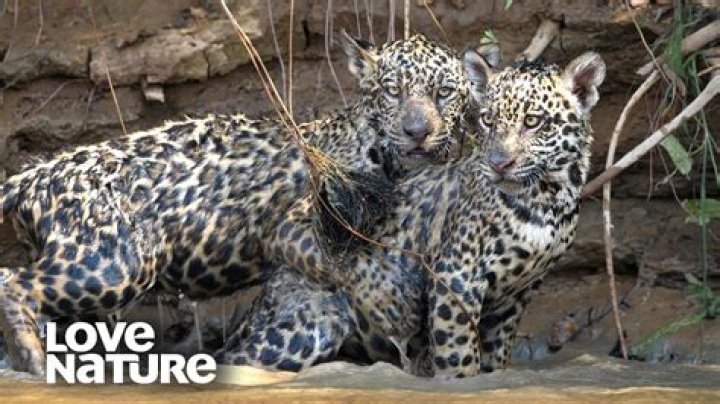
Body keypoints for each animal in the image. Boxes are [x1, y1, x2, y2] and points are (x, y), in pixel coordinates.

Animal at [0, 31, 476, 375]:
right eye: (393, 91)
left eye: (444, 93)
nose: (418, 131)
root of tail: (31, 174)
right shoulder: (290, 227)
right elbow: (353, 264)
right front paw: (388, 302)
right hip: (114, 262)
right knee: (12, 280)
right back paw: (33, 360)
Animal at [216, 49, 606, 378]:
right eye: (487, 120)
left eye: (533, 121)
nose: (499, 163)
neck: (546, 199)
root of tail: (266, 292)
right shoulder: (456, 276)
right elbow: (459, 355)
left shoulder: (518, 295)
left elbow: (495, 357)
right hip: (304, 326)